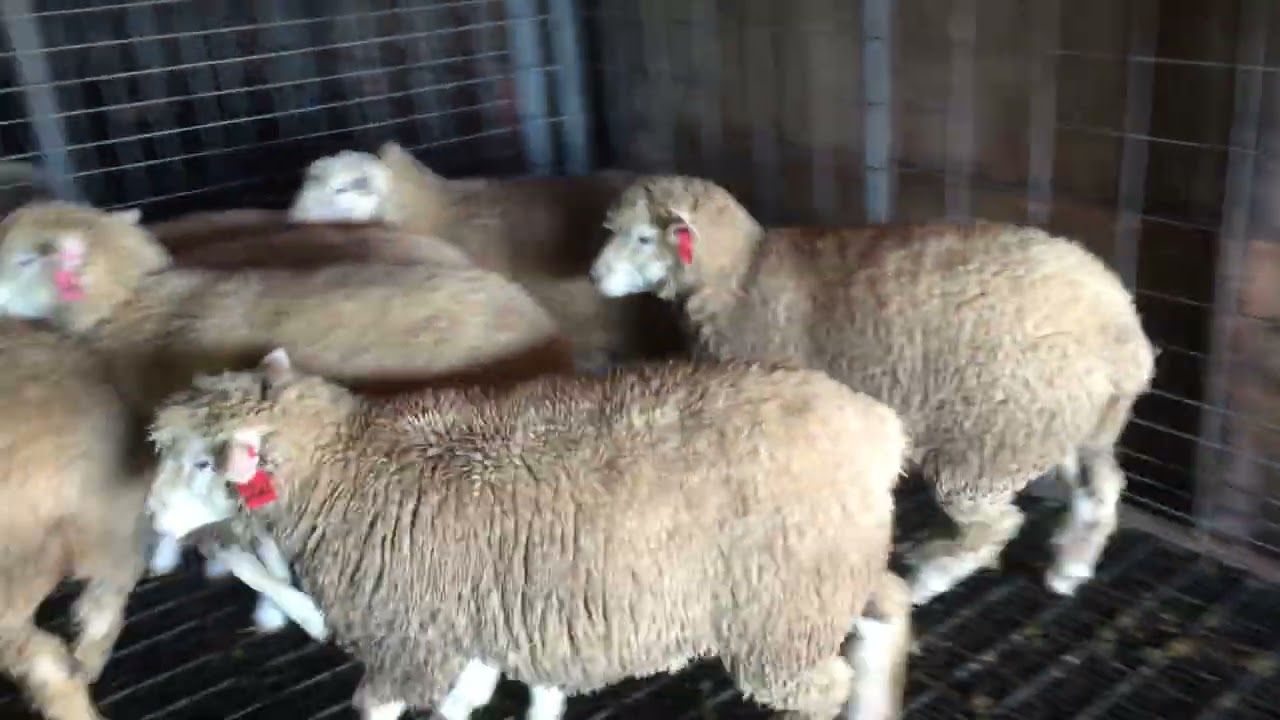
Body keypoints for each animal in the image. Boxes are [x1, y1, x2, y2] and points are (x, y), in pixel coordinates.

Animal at [145, 347, 915, 720]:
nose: (152, 516)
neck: (350, 466)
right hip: (827, 581)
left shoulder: (406, 636)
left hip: (781, 613)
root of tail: (877, 426)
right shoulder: (477, 619)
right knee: (891, 608)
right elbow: (470, 699)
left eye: (202, 462)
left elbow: (386, 704)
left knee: (820, 684)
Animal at [589, 174, 1158, 606]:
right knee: (1101, 488)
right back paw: (1069, 569)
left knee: (995, 525)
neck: (740, 279)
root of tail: (1124, 336)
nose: (593, 276)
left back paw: (928, 580)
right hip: (1072, 428)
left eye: (643, 238)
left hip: (989, 443)